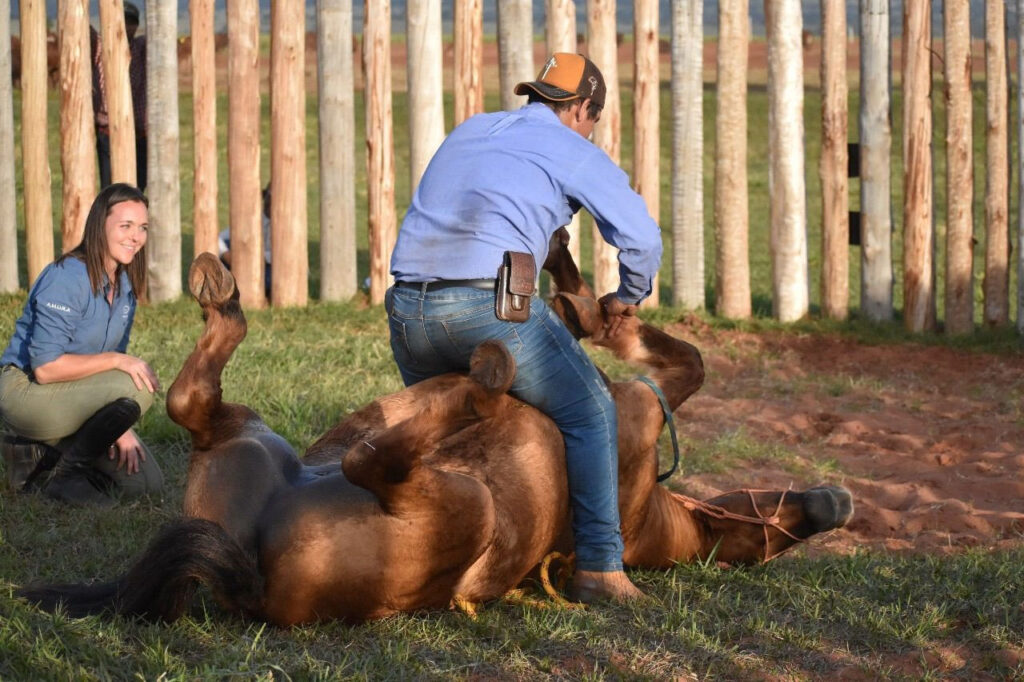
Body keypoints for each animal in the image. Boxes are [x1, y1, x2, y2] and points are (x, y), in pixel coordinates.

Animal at [18, 238, 853, 625]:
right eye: (776, 529)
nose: (832, 502)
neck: (654, 505)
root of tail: (251, 578)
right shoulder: (650, 402)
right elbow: (680, 357)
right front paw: (579, 293)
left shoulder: (649, 413)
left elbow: (686, 361)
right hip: (253, 444)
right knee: (201, 404)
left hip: (449, 505)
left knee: (364, 457)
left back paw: (483, 384)